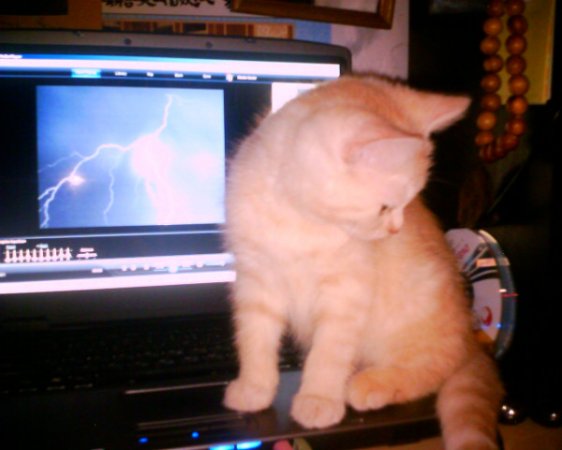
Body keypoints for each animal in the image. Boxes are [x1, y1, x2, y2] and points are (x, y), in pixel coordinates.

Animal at [223, 75, 503, 450]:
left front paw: (319, 398)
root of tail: (473, 341)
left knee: (434, 368)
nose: (395, 229)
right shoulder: (256, 278)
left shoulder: (347, 292)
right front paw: (255, 388)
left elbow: (329, 351)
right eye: (386, 207)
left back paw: (371, 384)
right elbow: (255, 338)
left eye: (409, 204)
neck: (298, 219)